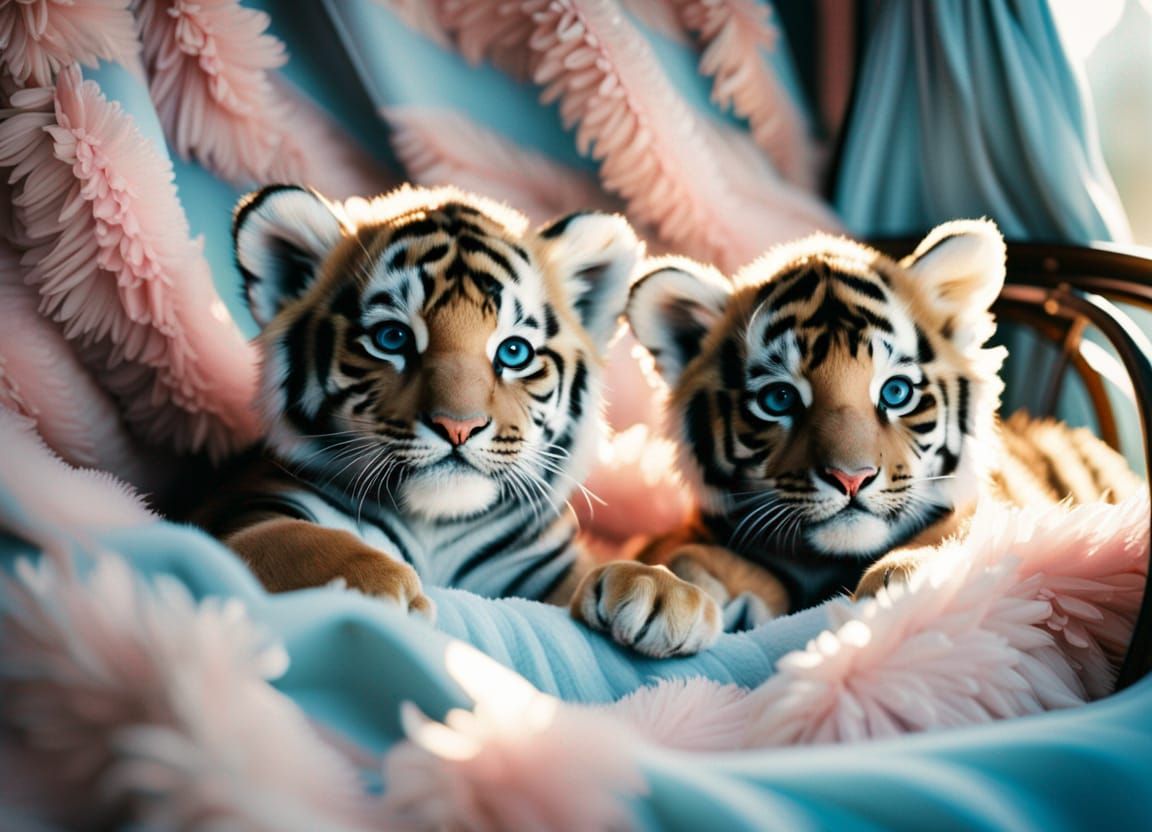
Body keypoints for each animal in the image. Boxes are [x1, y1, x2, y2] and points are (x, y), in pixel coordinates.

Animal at [190, 184, 722, 657]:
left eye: (514, 351)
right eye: (391, 338)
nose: (458, 427)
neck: (436, 526)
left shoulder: (548, 570)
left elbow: (597, 570)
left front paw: (662, 590)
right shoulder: (236, 514)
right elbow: (290, 540)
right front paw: (378, 584)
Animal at [624, 219, 1143, 620]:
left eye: (896, 392)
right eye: (779, 399)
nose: (850, 478)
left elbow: (959, 531)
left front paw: (908, 576)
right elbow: (680, 552)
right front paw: (657, 587)